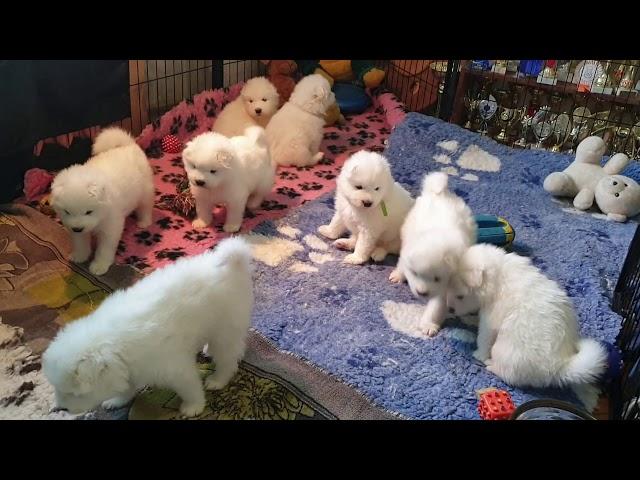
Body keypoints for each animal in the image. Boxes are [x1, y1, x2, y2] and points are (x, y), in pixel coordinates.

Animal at [40, 236, 254, 416]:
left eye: (73, 393)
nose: (62, 409)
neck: (113, 347)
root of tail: (231, 263)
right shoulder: (129, 371)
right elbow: (126, 388)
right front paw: (116, 400)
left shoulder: (175, 368)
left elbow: (190, 387)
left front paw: (193, 407)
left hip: (225, 329)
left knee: (228, 359)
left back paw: (217, 380)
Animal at [49, 127, 154, 276]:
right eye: (67, 212)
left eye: (89, 211)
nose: (77, 228)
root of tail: (128, 144)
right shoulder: (75, 229)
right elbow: (80, 242)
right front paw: (80, 256)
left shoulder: (111, 227)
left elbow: (105, 248)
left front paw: (99, 266)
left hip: (145, 190)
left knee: (145, 206)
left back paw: (144, 222)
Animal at [392, 173, 478, 338]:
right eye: (415, 273)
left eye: (437, 278)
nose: (422, 293)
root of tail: (438, 193)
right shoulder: (407, 248)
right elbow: (401, 262)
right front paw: (399, 274)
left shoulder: (447, 285)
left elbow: (437, 305)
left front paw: (428, 325)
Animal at [448, 244, 608, 402]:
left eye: (460, 296)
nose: (450, 310)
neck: (498, 275)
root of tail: (559, 366)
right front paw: (469, 319)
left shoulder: (490, 320)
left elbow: (483, 338)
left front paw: (478, 354)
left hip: (504, 351)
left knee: (507, 374)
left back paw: (490, 365)